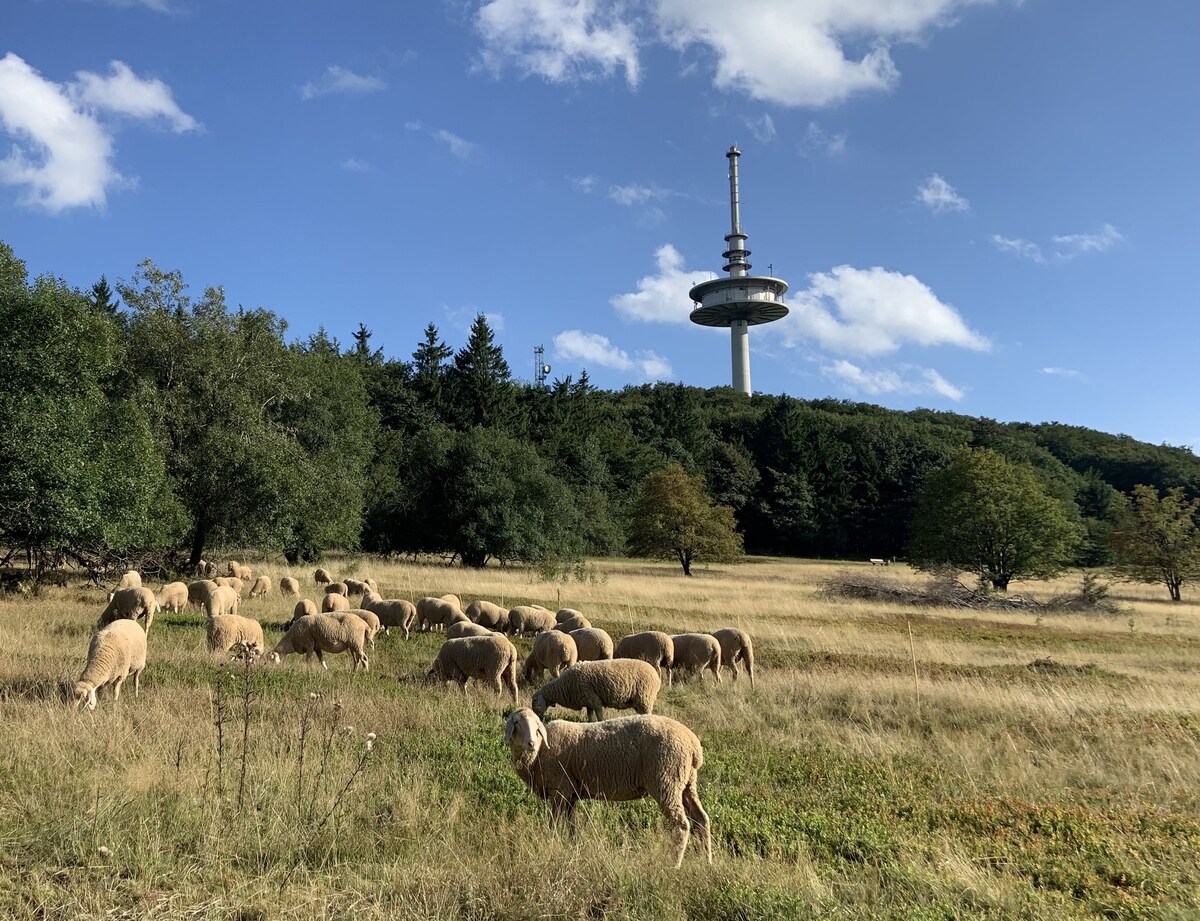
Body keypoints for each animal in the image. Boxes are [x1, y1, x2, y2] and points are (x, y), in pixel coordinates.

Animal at [501, 709, 705, 868]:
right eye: (517, 722)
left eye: (537, 725)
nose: (531, 743)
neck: (539, 754)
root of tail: (694, 744)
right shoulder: (570, 793)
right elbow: (571, 825)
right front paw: (573, 847)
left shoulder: (560, 789)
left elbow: (553, 823)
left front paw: (550, 843)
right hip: (686, 783)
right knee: (701, 819)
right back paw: (705, 859)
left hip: (666, 780)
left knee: (682, 825)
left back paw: (674, 864)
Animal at [537, 657, 667, 724]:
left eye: (535, 702)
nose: (539, 719)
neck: (564, 686)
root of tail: (656, 675)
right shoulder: (587, 700)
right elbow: (590, 714)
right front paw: (590, 723)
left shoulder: (593, 699)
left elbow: (599, 713)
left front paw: (600, 723)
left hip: (645, 697)